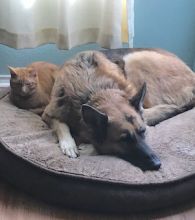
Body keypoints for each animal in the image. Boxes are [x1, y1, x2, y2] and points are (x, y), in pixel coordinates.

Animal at [42, 49, 195, 171]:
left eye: (143, 131)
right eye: (124, 140)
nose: (157, 164)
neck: (96, 91)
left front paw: (88, 148)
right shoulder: (48, 113)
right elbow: (62, 125)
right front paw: (68, 145)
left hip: (132, 60)